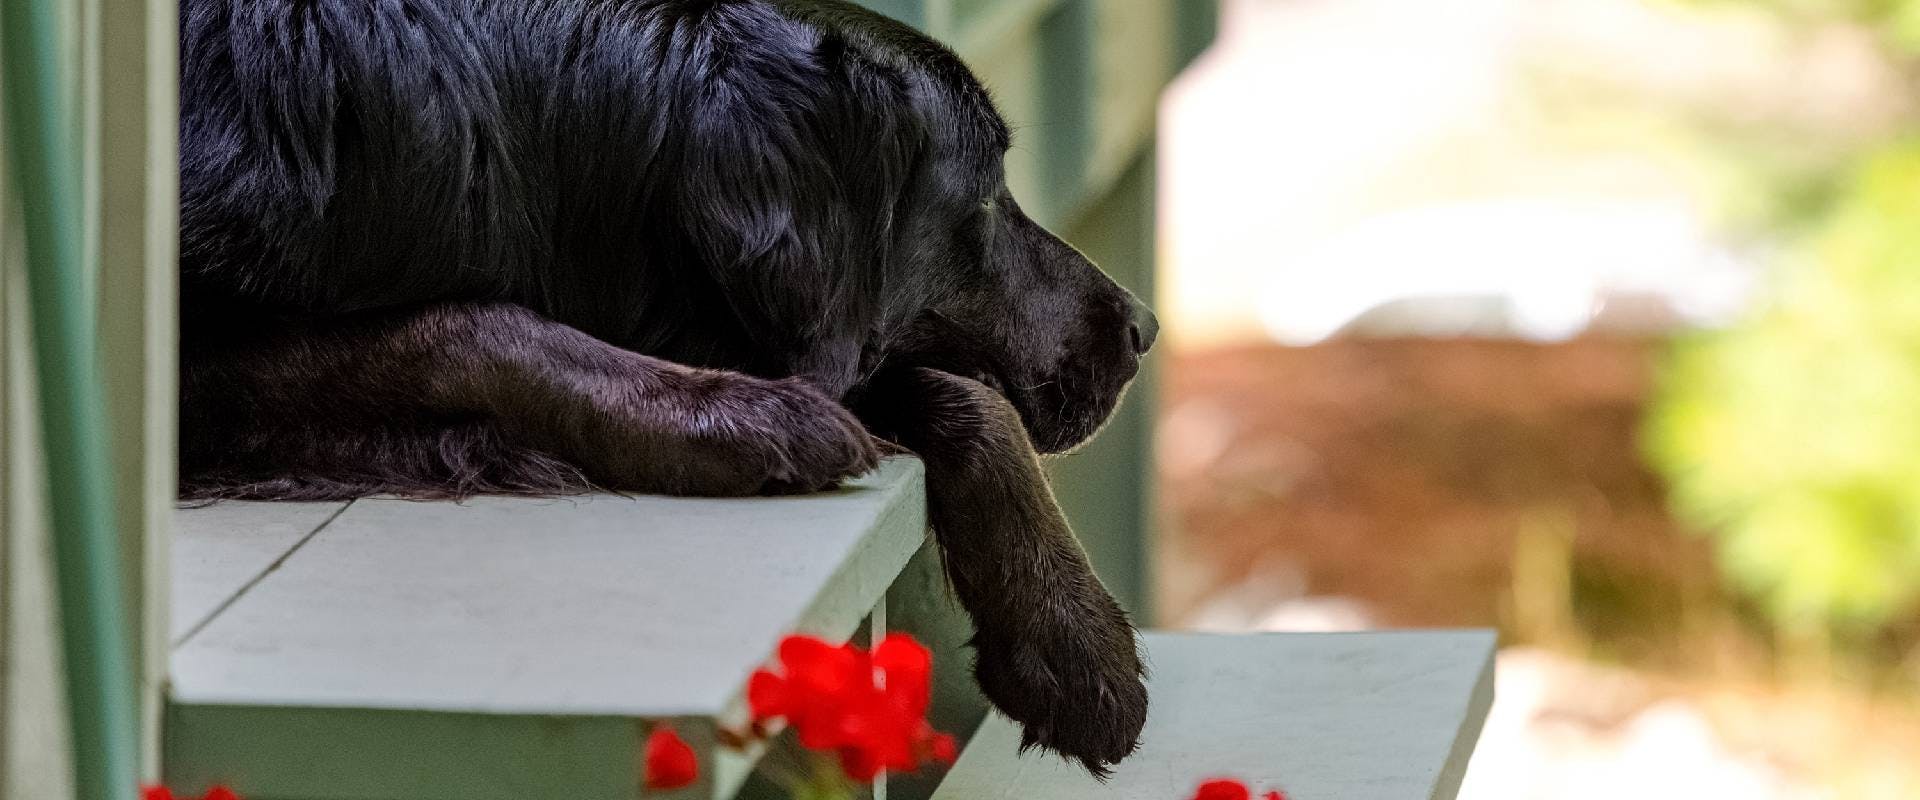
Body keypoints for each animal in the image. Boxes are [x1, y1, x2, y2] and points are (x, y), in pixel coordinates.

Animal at [183, 0, 1152, 775]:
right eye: (984, 201)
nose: (1144, 329)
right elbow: (470, 327)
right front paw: (732, 417)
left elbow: (963, 397)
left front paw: (1074, 637)